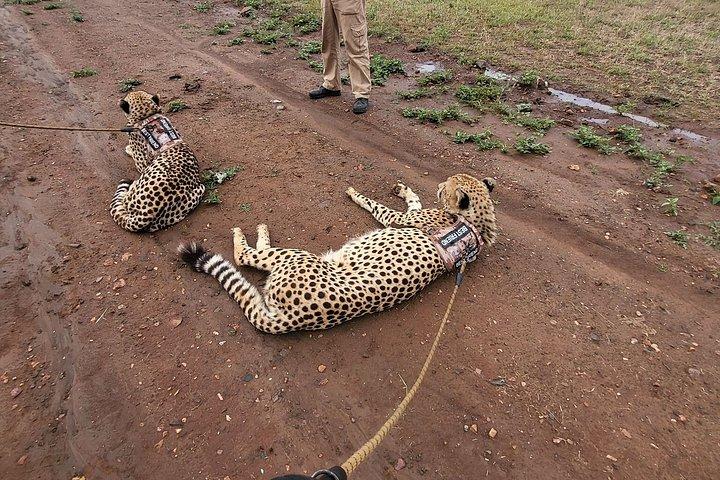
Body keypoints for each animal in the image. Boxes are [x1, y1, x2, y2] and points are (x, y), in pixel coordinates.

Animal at [178, 174, 497, 334]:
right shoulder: (411, 215)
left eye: (446, 186)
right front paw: (403, 188)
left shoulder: (397, 219)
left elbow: (374, 205)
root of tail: (294, 319)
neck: (475, 224)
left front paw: (355, 194)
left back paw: (250, 233)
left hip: (297, 258)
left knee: (246, 257)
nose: (440, 185)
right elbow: (413, 199)